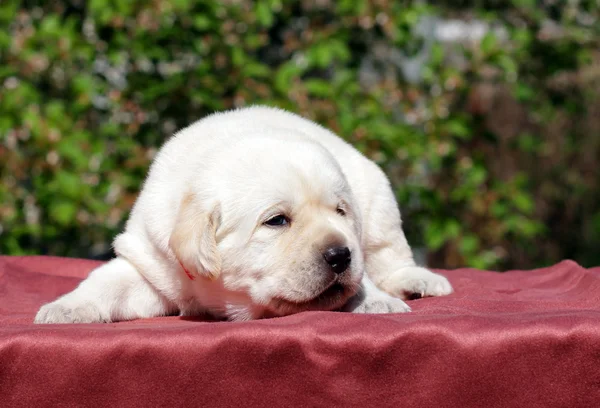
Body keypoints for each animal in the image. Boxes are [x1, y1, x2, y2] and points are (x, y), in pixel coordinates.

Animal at [35, 107, 452, 324]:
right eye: (277, 221)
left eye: (340, 211)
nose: (340, 255)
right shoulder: (150, 260)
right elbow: (108, 282)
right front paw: (64, 308)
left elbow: (361, 280)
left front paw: (373, 300)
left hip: (378, 197)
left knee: (388, 252)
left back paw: (417, 281)